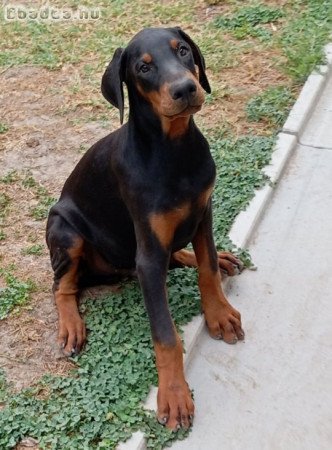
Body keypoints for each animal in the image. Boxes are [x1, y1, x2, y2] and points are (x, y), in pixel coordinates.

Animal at [46, 26, 244, 430]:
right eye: (143, 67)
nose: (185, 89)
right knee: (62, 285)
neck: (174, 150)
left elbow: (207, 267)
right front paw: (174, 395)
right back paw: (71, 325)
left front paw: (219, 313)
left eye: (183, 51)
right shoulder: (149, 254)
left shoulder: (203, 212)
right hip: (65, 230)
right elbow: (166, 336)